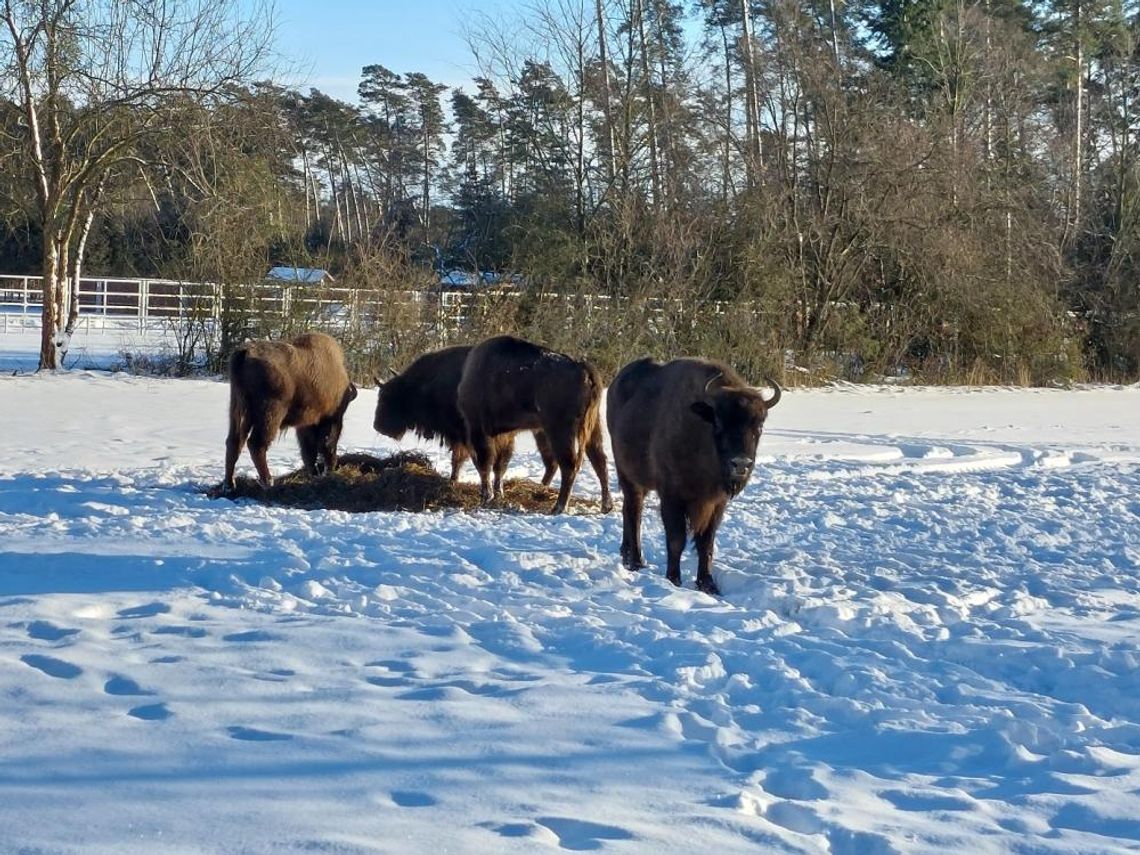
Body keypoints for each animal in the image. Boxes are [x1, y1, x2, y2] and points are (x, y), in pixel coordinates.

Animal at [221, 330, 355, 492]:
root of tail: (245, 353)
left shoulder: (306, 424)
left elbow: (308, 450)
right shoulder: (332, 418)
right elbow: (326, 444)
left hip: (238, 408)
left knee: (234, 442)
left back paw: (229, 485)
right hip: (271, 413)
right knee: (256, 444)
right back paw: (268, 482)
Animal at [456, 337, 615, 515]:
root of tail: (584, 369)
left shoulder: (479, 429)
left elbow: (487, 463)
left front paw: (486, 497)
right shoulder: (503, 435)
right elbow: (499, 466)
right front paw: (497, 495)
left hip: (560, 431)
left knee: (569, 465)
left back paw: (558, 507)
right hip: (593, 427)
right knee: (599, 461)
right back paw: (606, 506)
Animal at [611, 357, 779, 597]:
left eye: (760, 424)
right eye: (718, 422)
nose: (741, 464)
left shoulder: (716, 502)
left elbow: (706, 543)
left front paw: (708, 584)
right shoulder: (672, 496)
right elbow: (676, 540)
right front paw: (673, 579)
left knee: (630, 511)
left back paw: (628, 557)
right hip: (627, 476)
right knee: (634, 514)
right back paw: (635, 562)